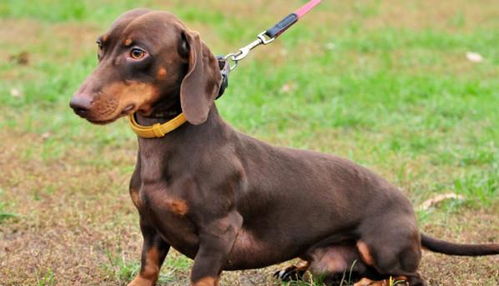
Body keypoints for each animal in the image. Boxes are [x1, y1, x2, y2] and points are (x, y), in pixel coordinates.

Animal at [70, 9, 499, 286]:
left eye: (137, 52)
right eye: (100, 46)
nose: (77, 104)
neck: (167, 150)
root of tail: (411, 217)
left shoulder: (219, 232)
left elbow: (200, 277)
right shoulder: (151, 226)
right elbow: (147, 270)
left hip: (383, 245)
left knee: (404, 278)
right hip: (329, 260)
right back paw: (294, 269)